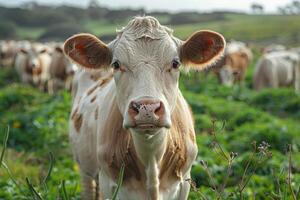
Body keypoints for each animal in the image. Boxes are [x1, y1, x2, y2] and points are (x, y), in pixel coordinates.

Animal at [64, 16, 225, 199]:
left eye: (175, 63)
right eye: (116, 64)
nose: (146, 108)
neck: (151, 159)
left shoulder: (184, 182)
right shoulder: (108, 182)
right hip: (85, 168)